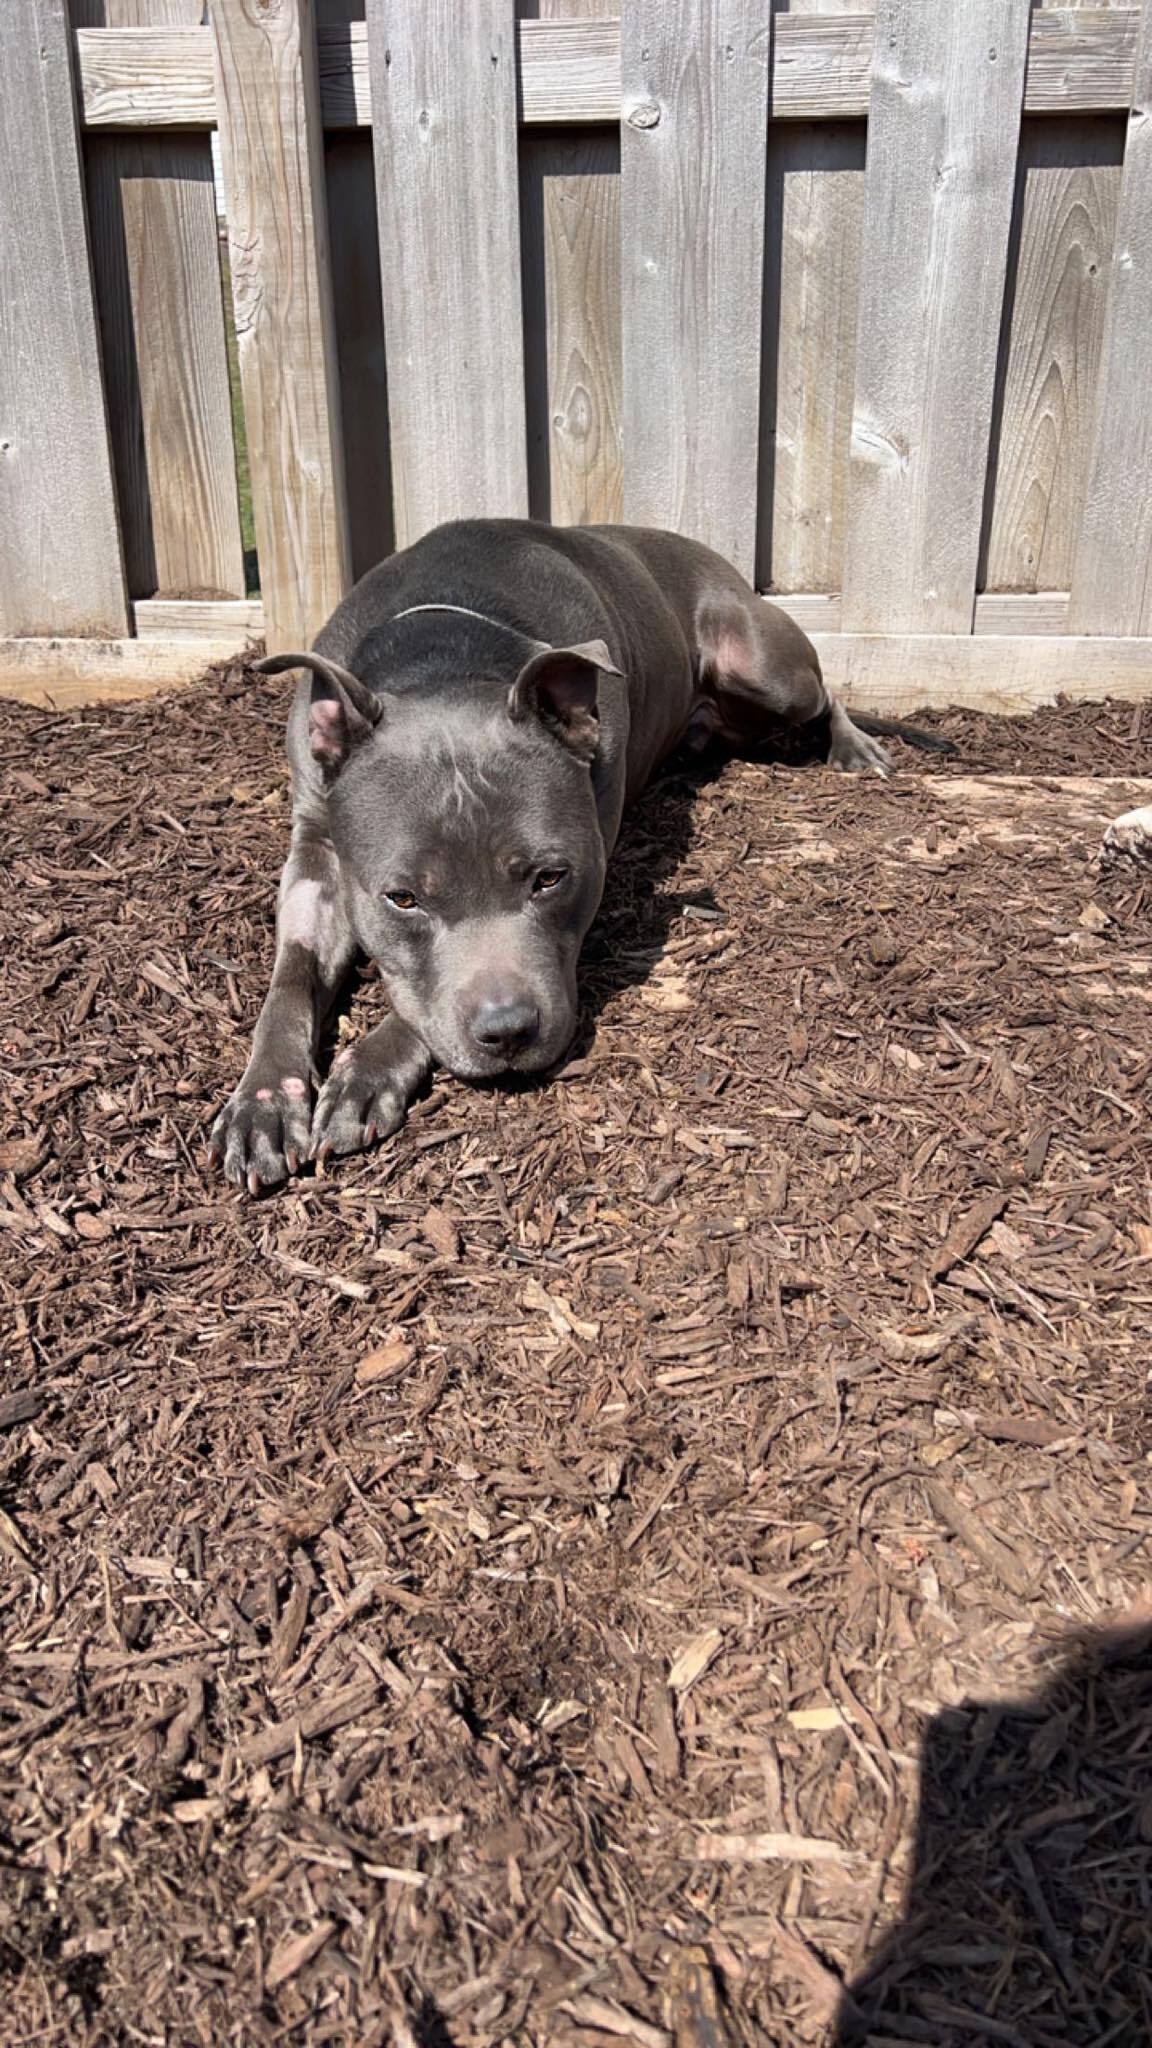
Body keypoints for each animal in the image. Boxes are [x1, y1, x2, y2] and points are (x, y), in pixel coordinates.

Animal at [206, 520, 942, 1196]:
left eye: (551, 878)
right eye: (403, 898)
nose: (507, 1032)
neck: (444, 658)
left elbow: (415, 1005)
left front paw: (368, 1067)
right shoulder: (314, 851)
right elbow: (293, 975)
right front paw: (263, 1099)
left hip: (762, 664)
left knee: (826, 693)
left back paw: (855, 747)